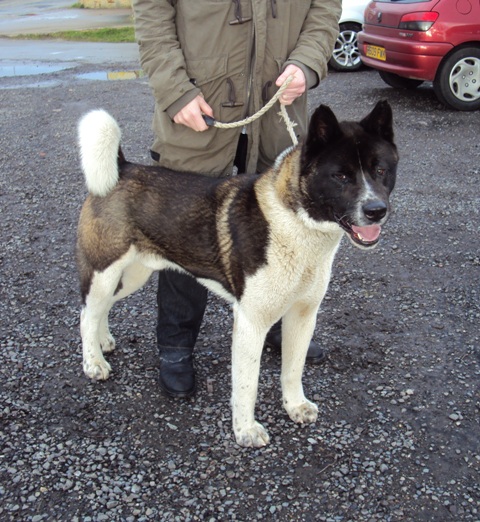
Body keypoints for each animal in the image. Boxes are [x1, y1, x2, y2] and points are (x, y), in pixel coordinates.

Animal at [76, 100, 398, 446]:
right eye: (340, 176)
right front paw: (245, 430)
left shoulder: (303, 315)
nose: (376, 211)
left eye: (380, 170)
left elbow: (293, 369)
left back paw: (103, 341)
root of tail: (121, 168)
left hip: (133, 274)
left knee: (100, 308)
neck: (296, 224)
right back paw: (93, 362)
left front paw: (295, 406)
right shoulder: (250, 322)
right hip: (104, 270)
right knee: (86, 314)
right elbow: (247, 384)